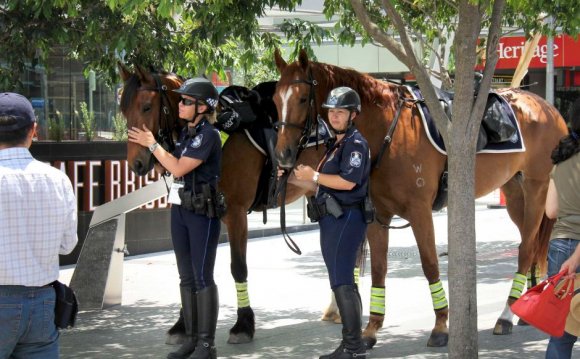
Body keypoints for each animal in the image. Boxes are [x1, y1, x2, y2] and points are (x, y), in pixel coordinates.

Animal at [118, 64, 326, 346]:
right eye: (123, 109)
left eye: (147, 107)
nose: (136, 164)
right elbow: (193, 268)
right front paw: (182, 324)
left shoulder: (236, 215)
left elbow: (238, 268)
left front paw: (243, 324)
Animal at [274, 49, 568, 348]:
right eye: (275, 98)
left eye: (302, 98)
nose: (283, 155)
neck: (387, 130)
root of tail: (548, 108)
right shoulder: (378, 216)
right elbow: (379, 268)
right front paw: (371, 329)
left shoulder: (420, 212)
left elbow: (430, 264)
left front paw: (440, 327)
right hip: (514, 192)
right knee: (530, 243)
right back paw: (524, 305)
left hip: (536, 187)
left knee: (527, 248)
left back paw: (506, 316)